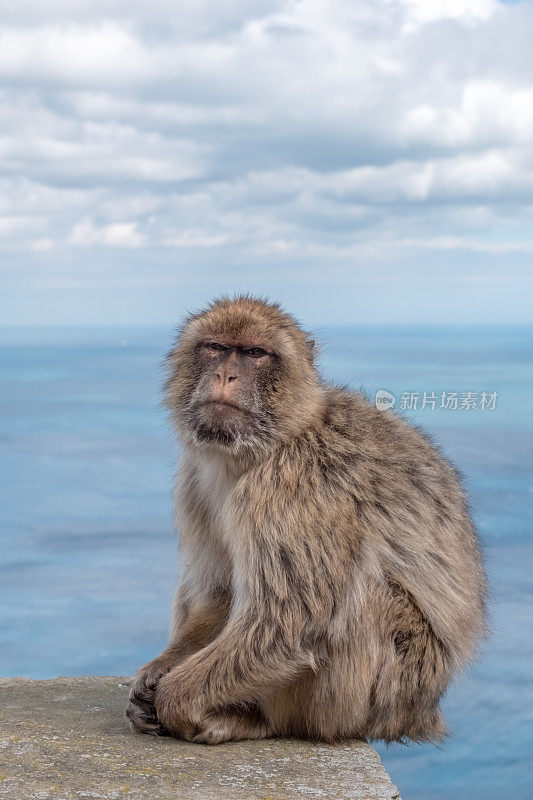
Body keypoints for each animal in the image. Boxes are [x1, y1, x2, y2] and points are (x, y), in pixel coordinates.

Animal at [127, 296, 484, 748]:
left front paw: (173, 699)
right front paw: (160, 669)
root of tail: (422, 712)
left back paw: (253, 721)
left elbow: (287, 622)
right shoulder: (194, 479)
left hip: (379, 691)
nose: (226, 374)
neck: (259, 450)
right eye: (215, 347)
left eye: (255, 353)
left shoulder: (293, 489)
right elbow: (223, 589)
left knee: (364, 595)